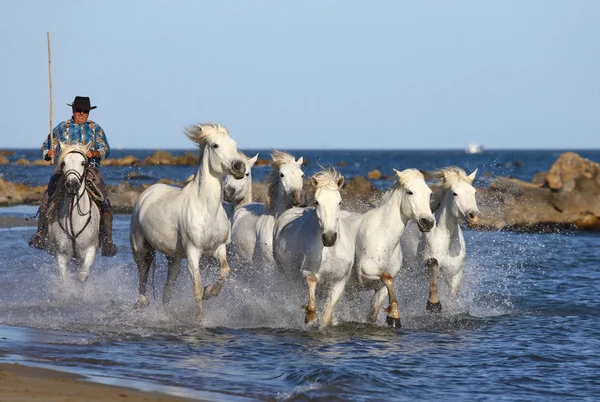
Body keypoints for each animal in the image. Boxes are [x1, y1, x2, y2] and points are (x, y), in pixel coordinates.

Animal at [45, 143, 100, 284]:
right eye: (63, 163)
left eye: (83, 163)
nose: (72, 185)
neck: (72, 218)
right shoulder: (61, 255)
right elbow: (64, 280)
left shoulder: (90, 250)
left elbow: (82, 276)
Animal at [129, 121, 246, 322]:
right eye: (215, 145)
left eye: (235, 144)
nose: (239, 167)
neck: (207, 210)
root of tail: (146, 193)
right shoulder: (193, 252)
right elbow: (196, 286)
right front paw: (199, 318)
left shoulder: (219, 248)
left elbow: (225, 271)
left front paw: (210, 292)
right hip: (141, 248)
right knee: (142, 274)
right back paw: (142, 302)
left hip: (174, 258)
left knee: (167, 290)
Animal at [272, 166, 352, 326]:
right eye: (317, 202)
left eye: (339, 202)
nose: (329, 238)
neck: (330, 252)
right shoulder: (306, 271)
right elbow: (312, 280)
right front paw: (310, 314)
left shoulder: (339, 282)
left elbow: (327, 315)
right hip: (285, 273)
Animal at [344, 168, 434, 328]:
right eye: (410, 192)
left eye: (429, 193)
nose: (427, 222)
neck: (383, 239)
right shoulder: (366, 270)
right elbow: (388, 278)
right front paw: (394, 316)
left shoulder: (380, 288)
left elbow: (373, 312)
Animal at [400, 166, 480, 310]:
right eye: (455, 193)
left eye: (474, 192)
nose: (474, 217)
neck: (446, 241)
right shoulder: (427, 261)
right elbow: (433, 268)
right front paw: (433, 304)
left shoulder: (455, 273)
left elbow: (452, 296)